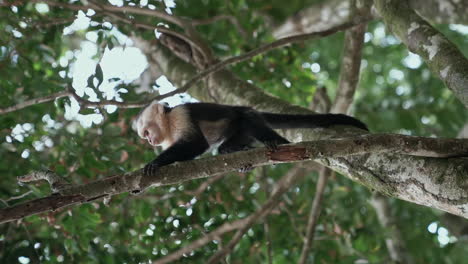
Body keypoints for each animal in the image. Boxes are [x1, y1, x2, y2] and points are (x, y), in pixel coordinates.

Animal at [133, 101, 368, 175]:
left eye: (146, 133)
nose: (150, 141)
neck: (168, 124)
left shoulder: (180, 115)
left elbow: (197, 143)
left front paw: (154, 163)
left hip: (245, 116)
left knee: (251, 122)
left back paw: (280, 143)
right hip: (236, 131)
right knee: (224, 148)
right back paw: (242, 156)